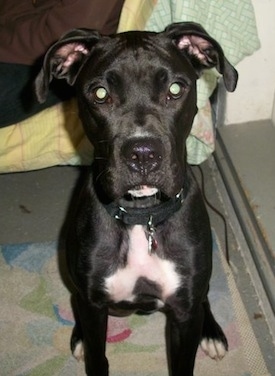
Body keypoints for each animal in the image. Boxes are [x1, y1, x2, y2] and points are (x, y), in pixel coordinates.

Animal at [35, 22, 238, 374]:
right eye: (100, 93)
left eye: (175, 88)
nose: (143, 154)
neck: (143, 218)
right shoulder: (93, 306)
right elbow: (97, 357)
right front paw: (85, 344)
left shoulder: (184, 313)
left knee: (205, 297)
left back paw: (211, 332)